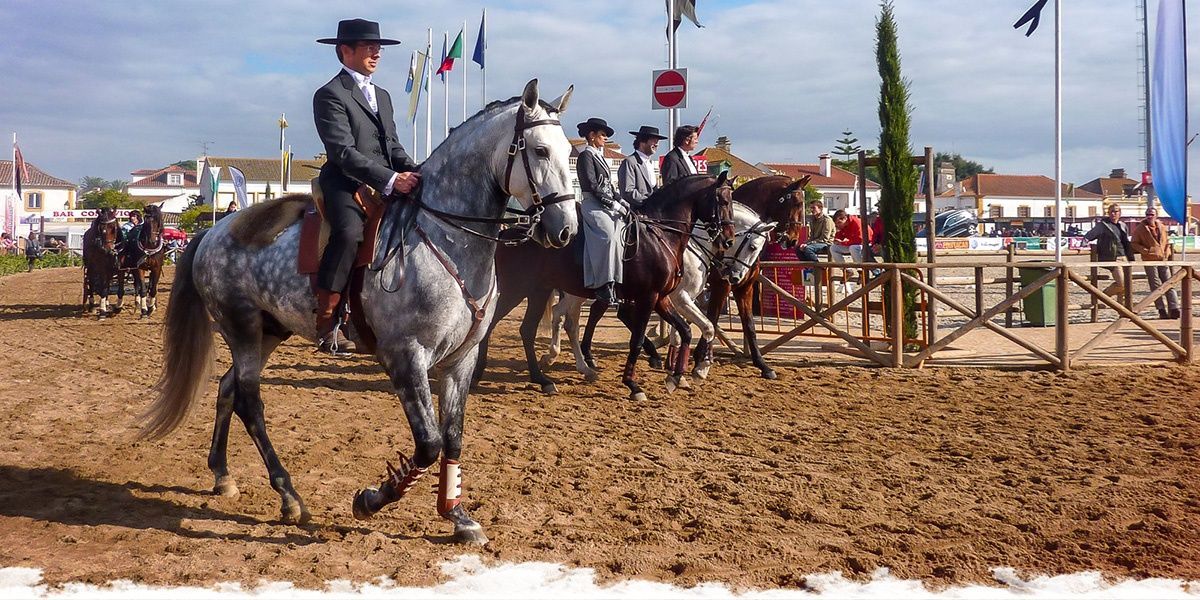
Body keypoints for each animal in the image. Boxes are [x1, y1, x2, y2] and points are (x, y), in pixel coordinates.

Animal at [138, 79, 578, 544]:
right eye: (540, 151)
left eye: (567, 152)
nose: (566, 229)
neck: (443, 236)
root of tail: (212, 232)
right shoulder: (406, 355)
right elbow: (429, 443)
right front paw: (371, 500)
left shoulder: (462, 358)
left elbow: (453, 438)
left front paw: (457, 516)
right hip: (240, 330)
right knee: (249, 403)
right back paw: (289, 497)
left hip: (268, 332)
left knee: (227, 389)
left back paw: (222, 475)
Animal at [472, 171, 734, 400]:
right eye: (722, 200)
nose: (728, 240)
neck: (659, 236)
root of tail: (509, 234)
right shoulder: (649, 297)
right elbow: (637, 339)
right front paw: (633, 385)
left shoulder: (661, 298)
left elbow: (686, 330)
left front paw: (676, 377)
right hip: (518, 290)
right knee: (499, 324)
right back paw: (482, 371)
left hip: (540, 291)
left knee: (531, 328)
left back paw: (544, 378)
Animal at [691, 175, 811, 379]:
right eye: (795, 203)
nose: (793, 240)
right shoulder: (721, 285)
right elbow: (712, 318)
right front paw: (700, 357)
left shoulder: (744, 286)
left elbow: (749, 325)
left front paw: (762, 365)